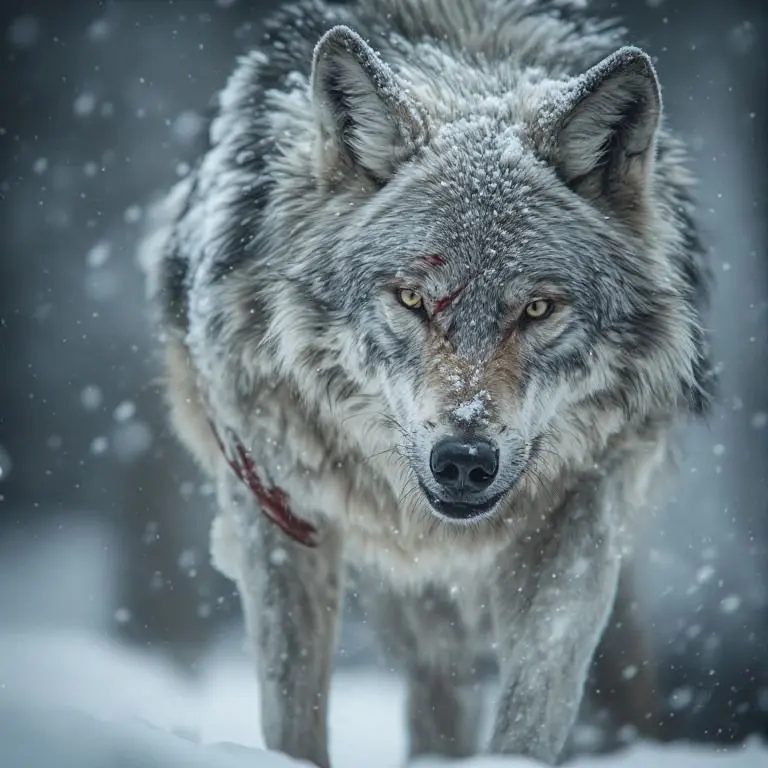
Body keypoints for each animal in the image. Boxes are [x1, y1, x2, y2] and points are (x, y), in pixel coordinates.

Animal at [139, 0, 713, 764]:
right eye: (411, 298)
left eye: (537, 309)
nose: (465, 461)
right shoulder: (277, 512)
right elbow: (292, 714)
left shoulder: (586, 506)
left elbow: (537, 698)